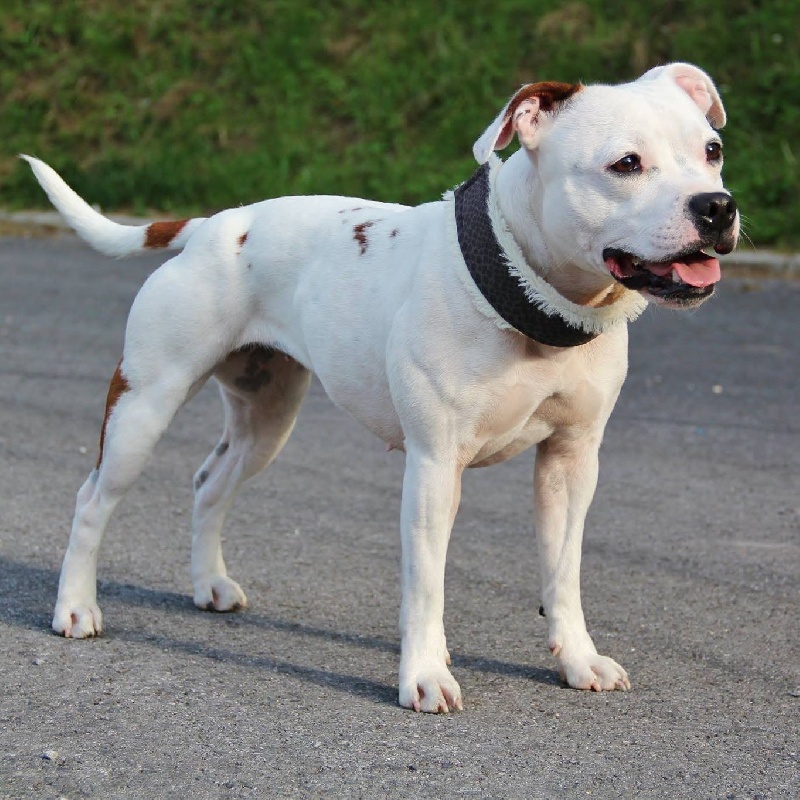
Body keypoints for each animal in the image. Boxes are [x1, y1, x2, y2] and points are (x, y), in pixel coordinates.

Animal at [24, 62, 738, 713]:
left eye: (712, 151)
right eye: (625, 163)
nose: (717, 207)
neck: (530, 295)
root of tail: (212, 226)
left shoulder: (571, 461)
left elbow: (564, 573)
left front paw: (579, 661)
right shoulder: (434, 466)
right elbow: (426, 582)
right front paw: (424, 675)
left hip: (266, 419)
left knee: (209, 484)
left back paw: (210, 585)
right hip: (144, 405)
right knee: (93, 499)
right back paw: (75, 609)